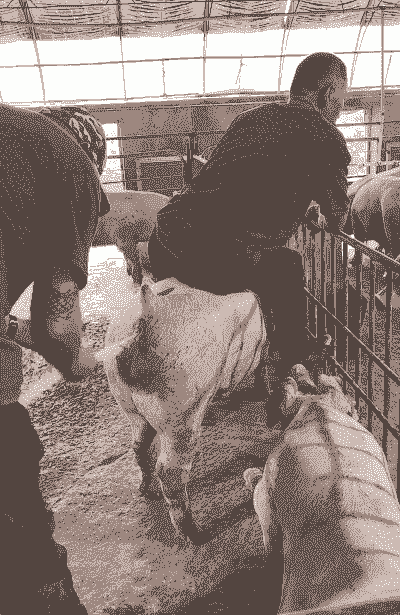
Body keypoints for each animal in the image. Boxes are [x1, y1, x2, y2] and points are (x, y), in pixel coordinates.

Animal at [95, 277, 267, 542]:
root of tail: (145, 320)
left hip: (127, 403)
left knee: (138, 445)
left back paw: (147, 491)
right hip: (181, 410)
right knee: (170, 471)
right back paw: (197, 535)